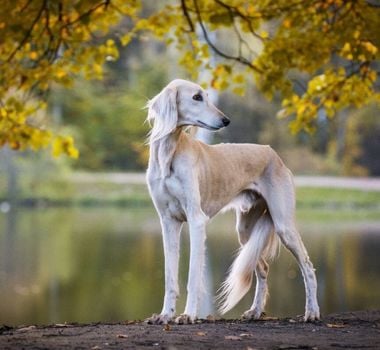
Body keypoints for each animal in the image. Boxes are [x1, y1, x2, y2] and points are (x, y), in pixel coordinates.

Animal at [145, 79, 320, 326]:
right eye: (197, 97)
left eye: (207, 96)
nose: (226, 120)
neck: (169, 153)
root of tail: (273, 154)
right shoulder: (168, 222)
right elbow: (170, 277)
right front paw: (165, 314)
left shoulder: (196, 221)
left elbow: (193, 277)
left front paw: (188, 315)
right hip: (245, 230)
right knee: (263, 268)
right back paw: (255, 311)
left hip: (283, 224)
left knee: (307, 267)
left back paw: (312, 311)